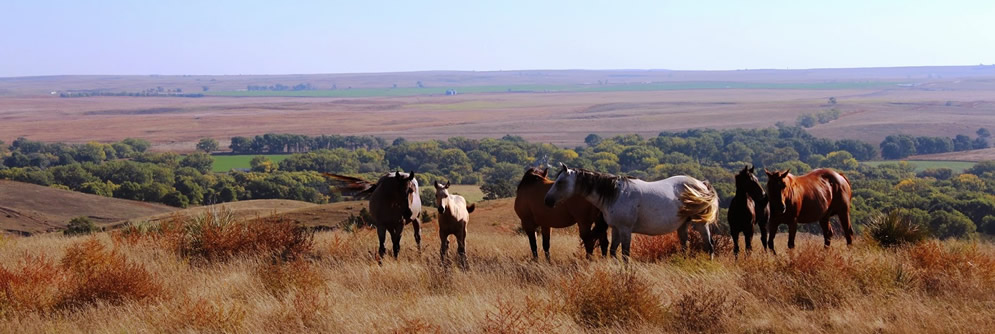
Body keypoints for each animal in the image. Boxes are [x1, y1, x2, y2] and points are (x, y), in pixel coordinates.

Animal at [540, 163, 720, 260]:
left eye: (560, 182)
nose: (547, 201)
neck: (615, 194)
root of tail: (702, 185)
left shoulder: (626, 230)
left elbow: (625, 253)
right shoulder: (615, 229)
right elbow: (613, 251)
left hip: (701, 224)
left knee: (709, 246)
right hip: (682, 225)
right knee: (685, 247)